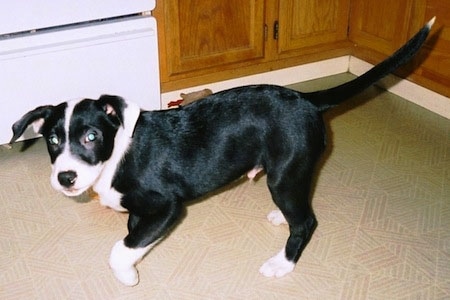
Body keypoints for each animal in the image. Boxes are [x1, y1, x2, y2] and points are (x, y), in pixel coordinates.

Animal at [9, 18, 432, 286]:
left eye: (91, 137)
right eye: (52, 141)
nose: (66, 178)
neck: (117, 156)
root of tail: (307, 99)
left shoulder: (167, 206)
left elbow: (120, 249)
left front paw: (127, 276)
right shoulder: (142, 214)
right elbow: (132, 238)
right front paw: (135, 262)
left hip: (285, 174)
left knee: (307, 223)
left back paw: (282, 263)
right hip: (290, 175)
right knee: (301, 207)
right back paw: (281, 217)